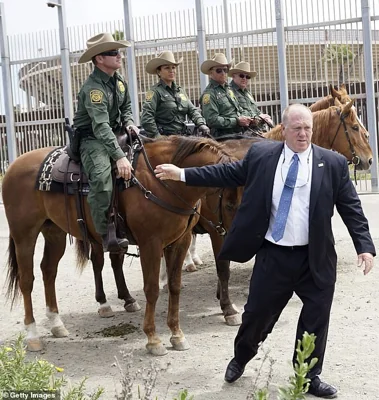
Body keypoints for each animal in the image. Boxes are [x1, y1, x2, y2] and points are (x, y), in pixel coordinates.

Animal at [2, 137, 235, 354]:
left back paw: (56, 323)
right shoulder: (150, 244)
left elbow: (174, 287)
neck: (161, 183)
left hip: (54, 233)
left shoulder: (180, 242)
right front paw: (153, 339)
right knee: (26, 280)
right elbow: (151, 289)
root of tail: (15, 165)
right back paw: (33, 335)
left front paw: (177, 335)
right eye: (230, 203)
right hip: (24, 235)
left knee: (49, 271)